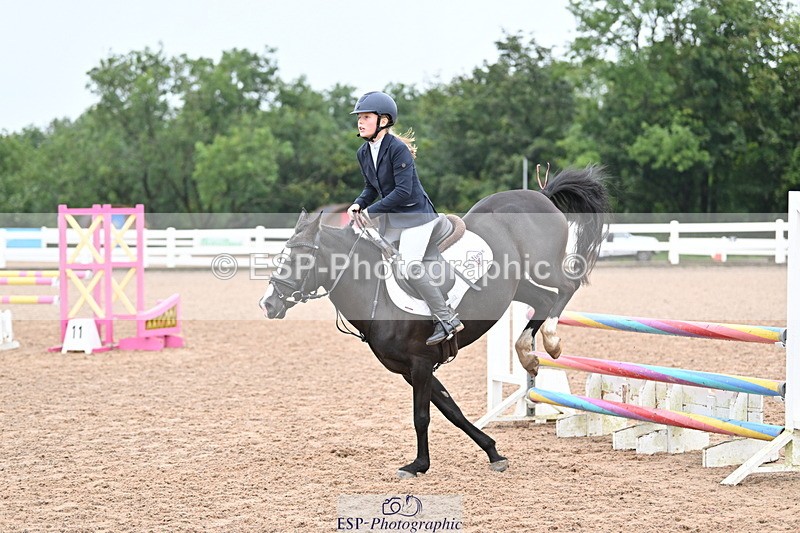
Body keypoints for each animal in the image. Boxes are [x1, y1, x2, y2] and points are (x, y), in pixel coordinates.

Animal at [259, 166, 610, 478]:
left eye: (300, 258)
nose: (268, 303)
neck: (374, 290)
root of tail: (540, 195)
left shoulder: (420, 363)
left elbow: (422, 416)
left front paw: (418, 465)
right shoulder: (409, 369)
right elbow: (451, 410)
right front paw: (493, 452)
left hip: (543, 266)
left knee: (567, 287)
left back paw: (549, 340)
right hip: (518, 284)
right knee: (543, 301)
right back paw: (527, 352)